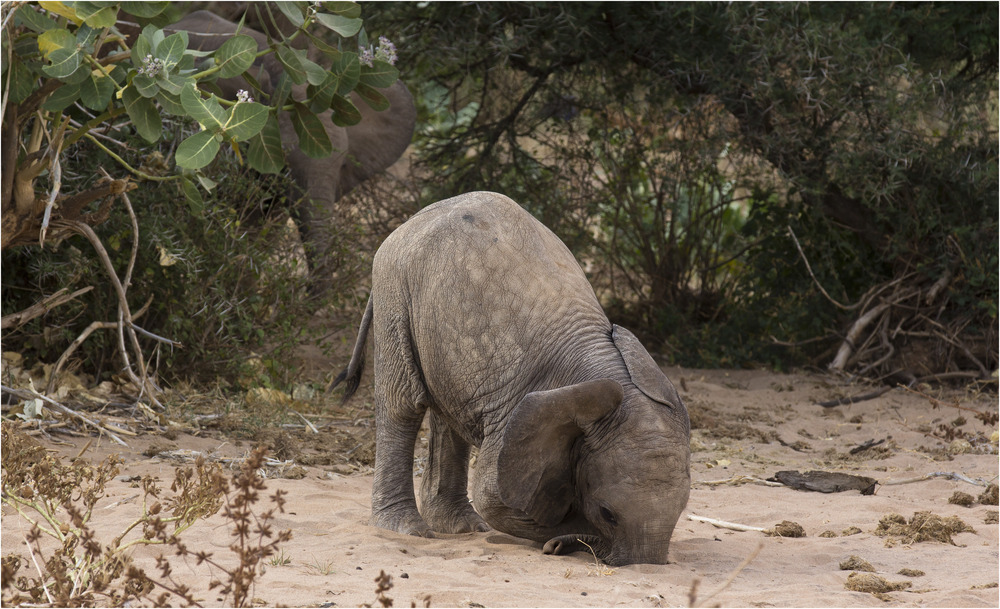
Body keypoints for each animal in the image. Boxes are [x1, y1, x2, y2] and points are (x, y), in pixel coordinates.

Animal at [332, 191, 692, 564]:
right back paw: (408, 530)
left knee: (448, 416)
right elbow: (495, 499)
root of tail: (410, 222)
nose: (645, 565)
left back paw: (463, 528)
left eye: (682, 511)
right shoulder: (519, 417)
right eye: (608, 514)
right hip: (394, 292)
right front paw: (566, 541)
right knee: (402, 406)